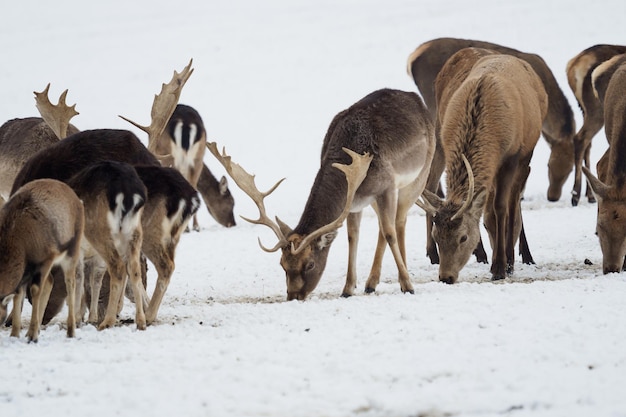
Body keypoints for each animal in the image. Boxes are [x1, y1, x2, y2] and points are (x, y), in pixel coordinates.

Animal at [0, 179, 84, 342]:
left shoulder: (45, 259)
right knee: (50, 280)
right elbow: (18, 295)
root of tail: (78, 200)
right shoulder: (25, 272)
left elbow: (34, 291)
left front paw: (32, 335)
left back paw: (71, 331)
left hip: (72, 250)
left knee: (70, 282)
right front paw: (15, 333)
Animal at [210, 88, 434, 300]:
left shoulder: (387, 187)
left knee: (398, 222)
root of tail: (416, 98)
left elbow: (390, 233)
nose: (293, 296)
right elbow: (353, 237)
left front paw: (408, 285)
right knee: (384, 224)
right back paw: (371, 283)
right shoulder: (355, 201)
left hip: (419, 175)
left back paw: (403, 276)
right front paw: (347, 289)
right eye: (282, 264)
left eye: (309, 264)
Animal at [420, 48, 544, 282]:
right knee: (430, 184)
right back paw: (433, 254)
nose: (446, 277)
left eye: (463, 237)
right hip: (438, 136)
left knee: (514, 200)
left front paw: (501, 266)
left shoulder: (511, 157)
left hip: (527, 152)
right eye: (437, 235)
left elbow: (501, 207)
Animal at [564, 44, 624, 206]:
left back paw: (589, 195)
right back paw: (576, 194)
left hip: (585, 110)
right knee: (581, 139)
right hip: (596, 111)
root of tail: (572, 65)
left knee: (587, 144)